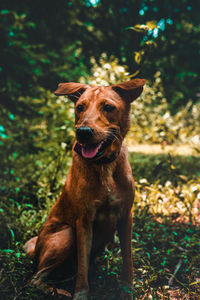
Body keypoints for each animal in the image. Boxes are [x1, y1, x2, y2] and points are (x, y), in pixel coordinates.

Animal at [25, 78, 145, 298]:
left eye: (108, 107)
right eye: (80, 107)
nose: (83, 132)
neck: (103, 165)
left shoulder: (126, 216)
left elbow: (128, 259)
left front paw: (127, 288)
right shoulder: (84, 220)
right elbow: (82, 267)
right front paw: (80, 294)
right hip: (65, 235)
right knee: (34, 279)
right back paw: (59, 291)